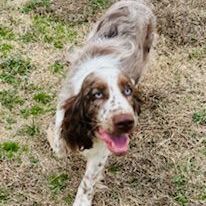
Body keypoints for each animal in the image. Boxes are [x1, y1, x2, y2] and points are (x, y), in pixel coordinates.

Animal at [47, 0, 156, 205]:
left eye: (128, 91)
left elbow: (88, 180)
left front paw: (82, 200)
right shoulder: (63, 107)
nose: (126, 121)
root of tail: (136, 2)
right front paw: (56, 140)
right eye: (97, 94)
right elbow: (59, 143)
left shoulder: (103, 150)